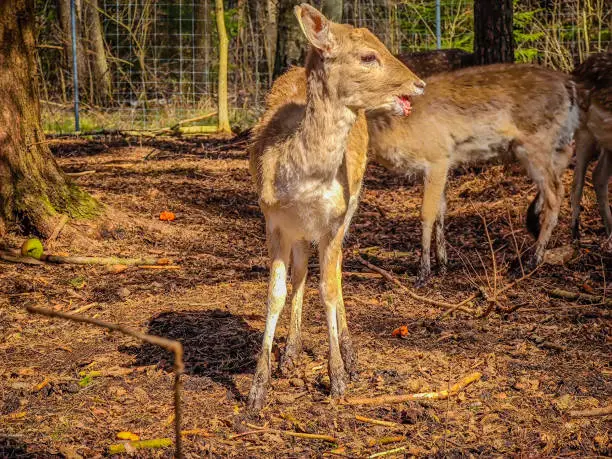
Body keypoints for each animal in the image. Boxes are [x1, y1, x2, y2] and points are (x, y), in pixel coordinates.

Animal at [246, 3, 424, 412]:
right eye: (368, 56)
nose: (418, 83)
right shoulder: (273, 220)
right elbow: (276, 293)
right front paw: (257, 391)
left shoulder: (333, 220)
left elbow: (329, 286)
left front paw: (339, 378)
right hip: (300, 231)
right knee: (301, 272)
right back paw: (290, 352)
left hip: (352, 206)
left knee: (338, 268)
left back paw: (351, 356)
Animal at [366, 62, 580, 284]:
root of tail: (569, 85)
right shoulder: (442, 163)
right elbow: (441, 210)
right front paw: (442, 264)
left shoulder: (437, 157)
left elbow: (427, 213)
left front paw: (423, 272)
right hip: (550, 142)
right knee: (565, 158)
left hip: (536, 142)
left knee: (556, 192)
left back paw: (532, 260)